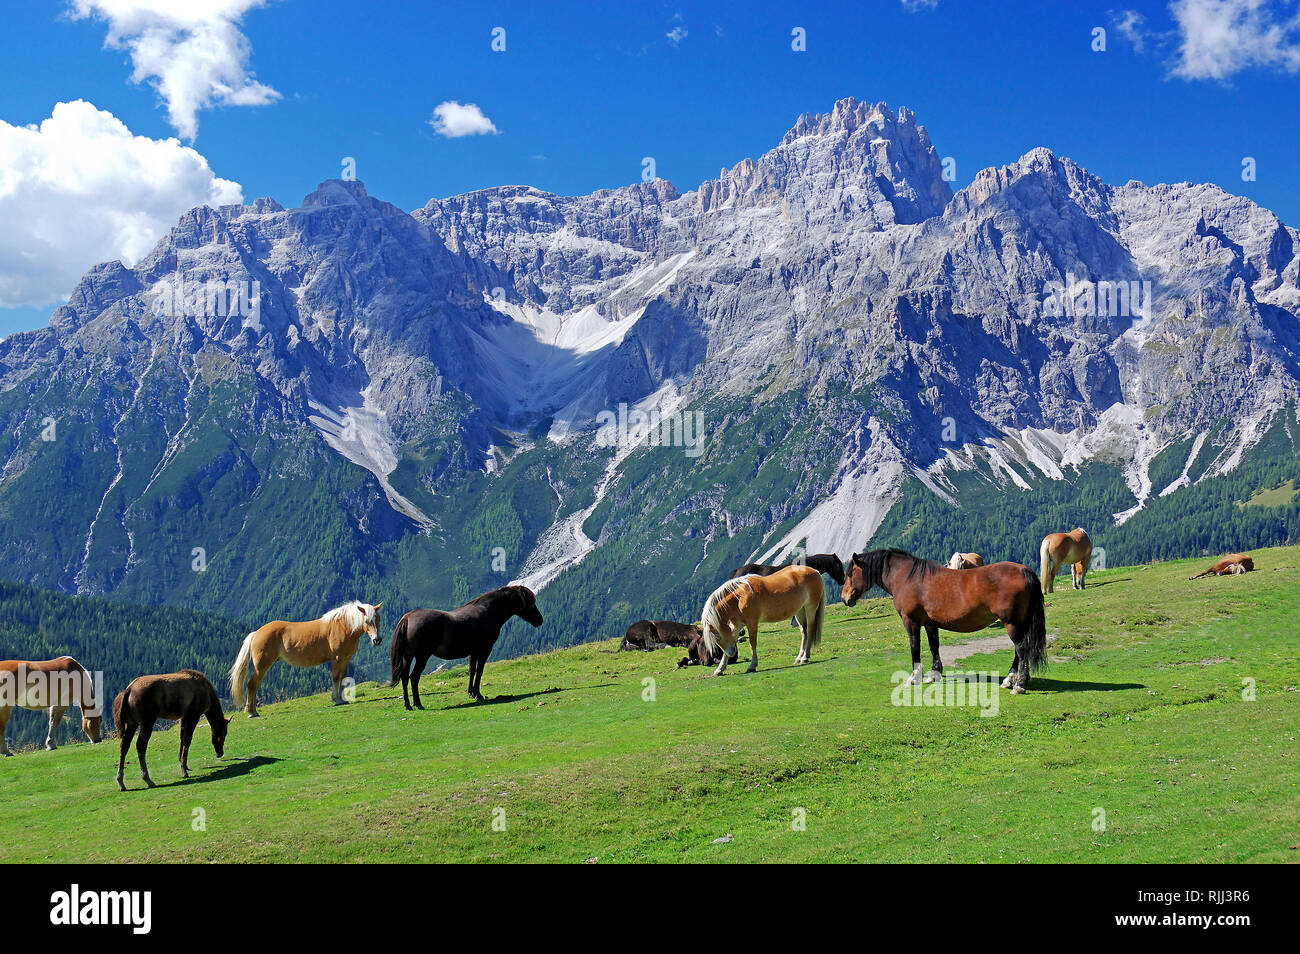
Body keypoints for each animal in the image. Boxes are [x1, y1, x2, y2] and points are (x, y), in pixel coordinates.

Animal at [231, 601, 383, 717]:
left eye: (378, 619)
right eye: (366, 621)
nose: (377, 640)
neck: (343, 626)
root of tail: (256, 633)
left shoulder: (346, 659)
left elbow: (343, 678)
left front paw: (342, 699)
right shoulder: (337, 658)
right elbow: (336, 678)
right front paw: (337, 700)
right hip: (262, 666)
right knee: (252, 684)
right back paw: (252, 712)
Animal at [390, 585, 543, 709]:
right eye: (530, 603)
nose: (539, 620)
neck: (488, 611)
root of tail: (408, 618)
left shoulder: (473, 652)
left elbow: (472, 670)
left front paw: (471, 693)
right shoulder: (485, 650)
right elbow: (479, 671)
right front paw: (478, 694)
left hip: (407, 656)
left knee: (404, 677)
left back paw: (408, 705)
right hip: (422, 657)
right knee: (414, 677)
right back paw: (418, 704)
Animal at [842, 549, 1047, 693]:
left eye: (850, 573)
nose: (845, 598)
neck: (907, 578)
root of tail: (1024, 570)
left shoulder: (911, 622)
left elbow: (915, 647)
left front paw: (914, 677)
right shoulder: (930, 624)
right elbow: (934, 647)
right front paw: (933, 674)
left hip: (1011, 623)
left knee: (1021, 649)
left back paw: (1019, 684)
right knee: (1019, 650)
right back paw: (1010, 680)